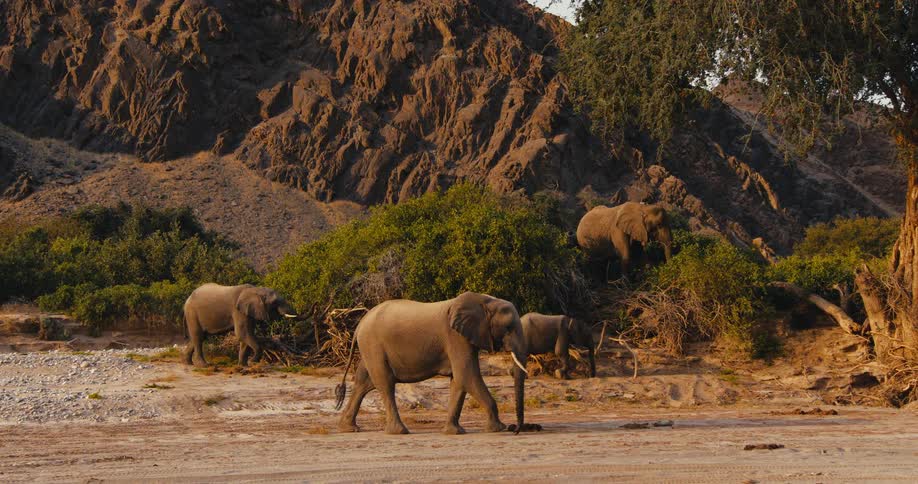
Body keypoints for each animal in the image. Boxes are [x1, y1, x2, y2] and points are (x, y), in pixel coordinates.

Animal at [335, 292, 532, 435]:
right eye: (508, 328)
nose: (515, 429)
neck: (485, 301)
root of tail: (360, 324)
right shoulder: (455, 337)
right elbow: (467, 374)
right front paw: (499, 429)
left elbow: (458, 380)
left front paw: (454, 432)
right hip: (373, 344)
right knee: (385, 383)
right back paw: (399, 432)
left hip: (369, 347)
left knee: (364, 382)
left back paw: (349, 428)